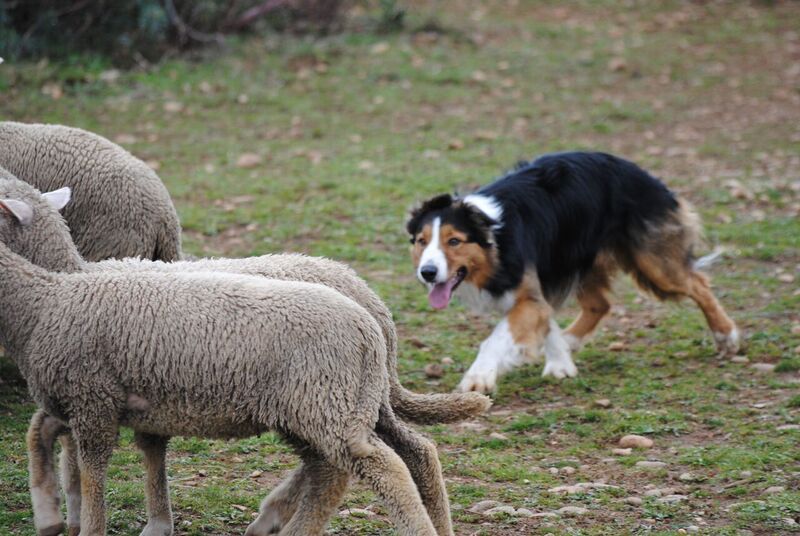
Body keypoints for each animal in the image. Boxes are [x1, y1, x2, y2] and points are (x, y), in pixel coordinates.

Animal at [0, 178, 484, 536]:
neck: (59, 285)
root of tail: (372, 305)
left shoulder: (94, 396)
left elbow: (86, 464)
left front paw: (84, 518)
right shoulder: (120, 398)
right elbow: (65, 441)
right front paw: (65, 514)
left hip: (324, 401)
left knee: (354, 465)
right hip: (351, 401)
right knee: (402, 453)